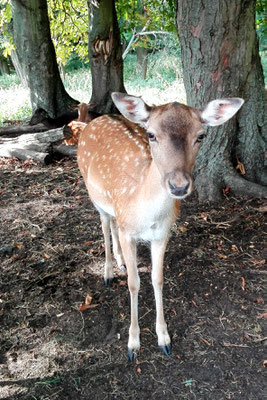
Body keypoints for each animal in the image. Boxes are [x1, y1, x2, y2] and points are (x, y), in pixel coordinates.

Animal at [77, 93, 245, 360]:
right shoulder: (129, 232)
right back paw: (108, 273)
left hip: (113, 208)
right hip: (94, 195)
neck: (147, 214)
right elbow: (134, 282)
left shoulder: (162, 233)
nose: (178, 186)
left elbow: (157, 278)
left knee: (113, 224)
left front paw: (164, 338)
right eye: (151, 134)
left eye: (201, 135)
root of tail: (95, 120)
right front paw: (133, 344)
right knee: (104, 226)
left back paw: (120, 261)